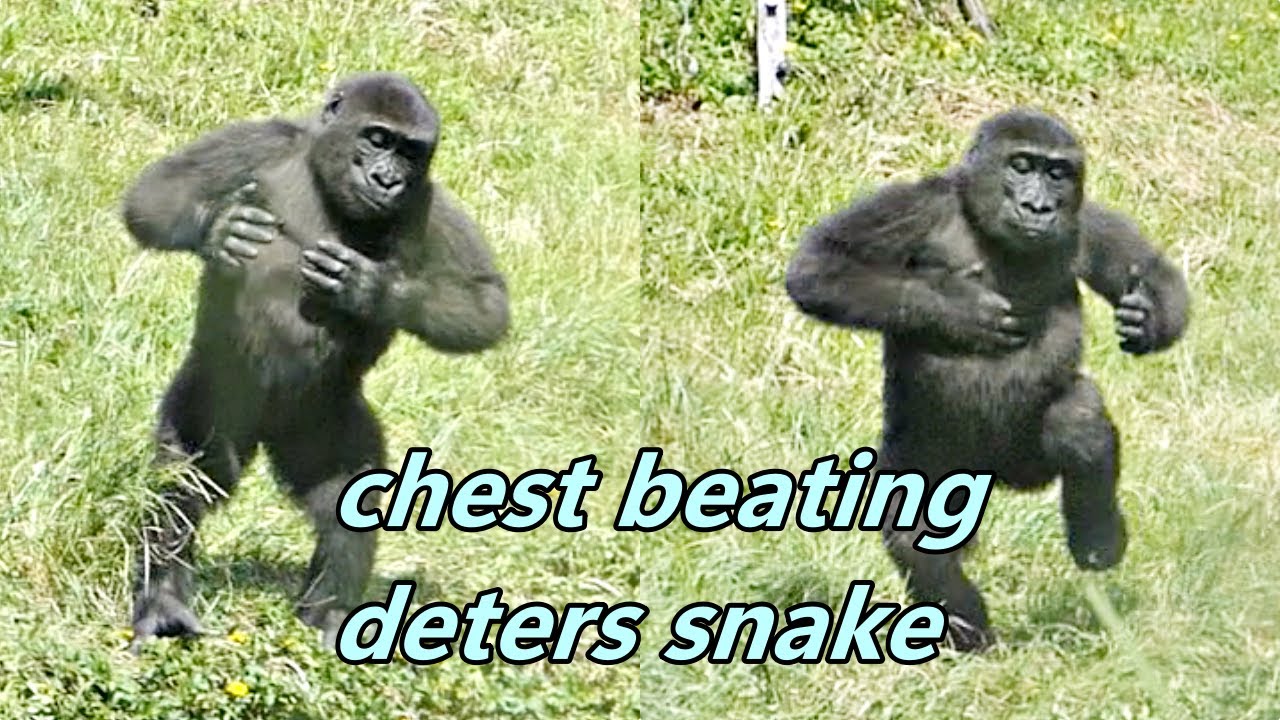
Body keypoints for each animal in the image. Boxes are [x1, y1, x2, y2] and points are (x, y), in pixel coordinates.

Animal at [121, 72, 509, 650]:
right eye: (377, 138)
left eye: (410, 152)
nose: (388, 180)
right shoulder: (262, 140)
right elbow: (156, 193)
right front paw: (221, 230)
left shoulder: (427, 200)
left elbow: (485, 303)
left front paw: (371, 290)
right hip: (212, 391)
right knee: (184, 481)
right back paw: (164, 601)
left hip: (322, 417)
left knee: (349, 498)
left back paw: (327, 618)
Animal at [785, 108, 1189, 651]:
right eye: (1020, 165)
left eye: (1057, 173)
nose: (1037, 206)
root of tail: (999, 477)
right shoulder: (918, 206)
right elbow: (819, 266)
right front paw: (959, 307)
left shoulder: (1086, 222)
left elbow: (1151, 270)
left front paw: (1147, 319)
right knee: (916, 531)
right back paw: (967, 634)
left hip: (1028, 462)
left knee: (1077, 419)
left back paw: (1097, 540)